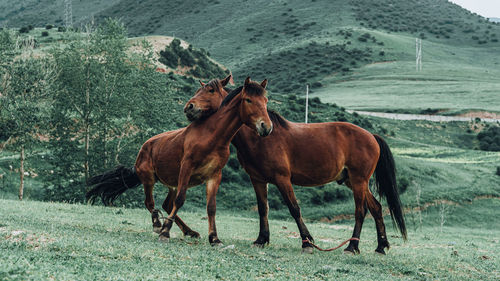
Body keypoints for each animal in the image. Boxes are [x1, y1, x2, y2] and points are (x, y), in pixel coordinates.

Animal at [87, 76, 274, 243]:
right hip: (149, 179)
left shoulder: (214, 176)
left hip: (172, 184)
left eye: (265, 101)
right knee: (150, 203)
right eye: (248, 100)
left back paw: (188, 231)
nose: (266, 127)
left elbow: (211, 207)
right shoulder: (186, 168)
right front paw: (165, 232)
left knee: (166, 205)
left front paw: (214, 238)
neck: (212, 136)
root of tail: (144, 147)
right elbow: (181, 200)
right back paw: (158, 225)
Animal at [184, 75, 406, 253]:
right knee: (376, 208)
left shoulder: (283, 179)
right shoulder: (257, 180)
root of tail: (371, 136)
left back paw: (352, 247)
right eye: (248, 100)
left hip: (359, 181)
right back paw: (380, 246)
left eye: (211, 90)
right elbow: (263, 208)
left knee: (361, 211)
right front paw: (261, 239)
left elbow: (294, 208)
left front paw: (307, 242)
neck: (260, 140)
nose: (189, 107)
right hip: (353, 181)